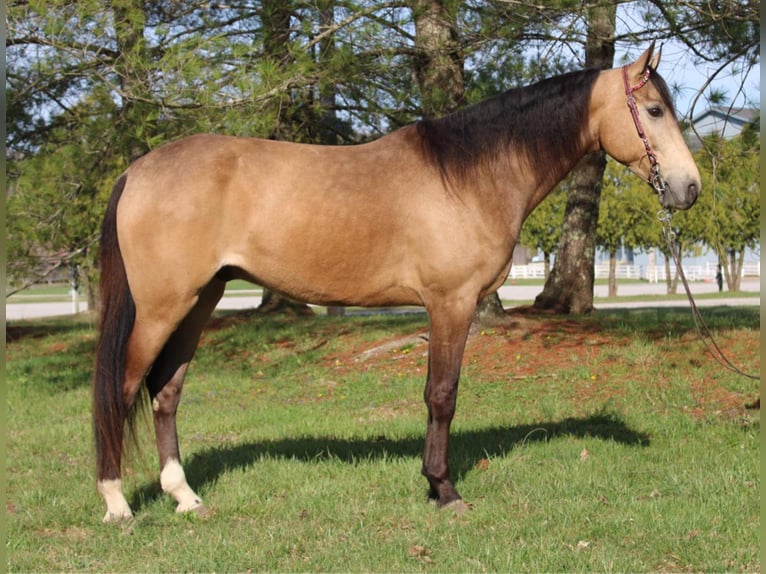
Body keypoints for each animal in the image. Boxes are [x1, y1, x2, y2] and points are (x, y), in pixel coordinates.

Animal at [93, 42, 700, 524]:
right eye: (653, 109)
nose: (689, 187)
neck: (469, 176)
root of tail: (137, 171)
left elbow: (435, 393)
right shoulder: (451, 304)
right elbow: (442, 395)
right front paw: (444, 490)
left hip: (200, 301)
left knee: (166, 392)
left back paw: (185, 497)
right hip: (161, 308)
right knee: (122, 391)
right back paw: (117, 503)